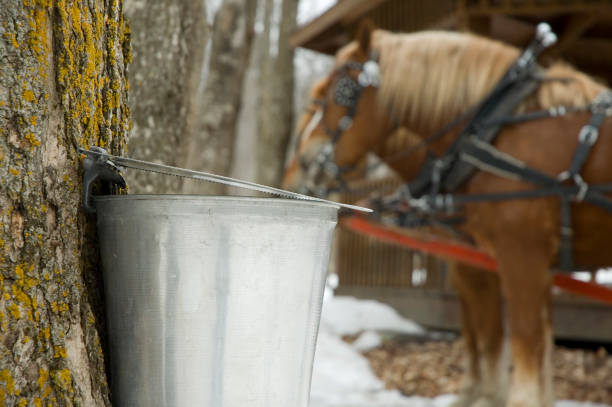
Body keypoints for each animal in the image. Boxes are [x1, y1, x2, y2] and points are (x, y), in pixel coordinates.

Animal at [282, 23, 612, 407]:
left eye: (342, 91)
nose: (299, 168)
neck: (497, 135)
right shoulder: (484, 261)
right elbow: (496, 335)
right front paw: (479, 392)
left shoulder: (518, 256)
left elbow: (516, 339)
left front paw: (492, 394)